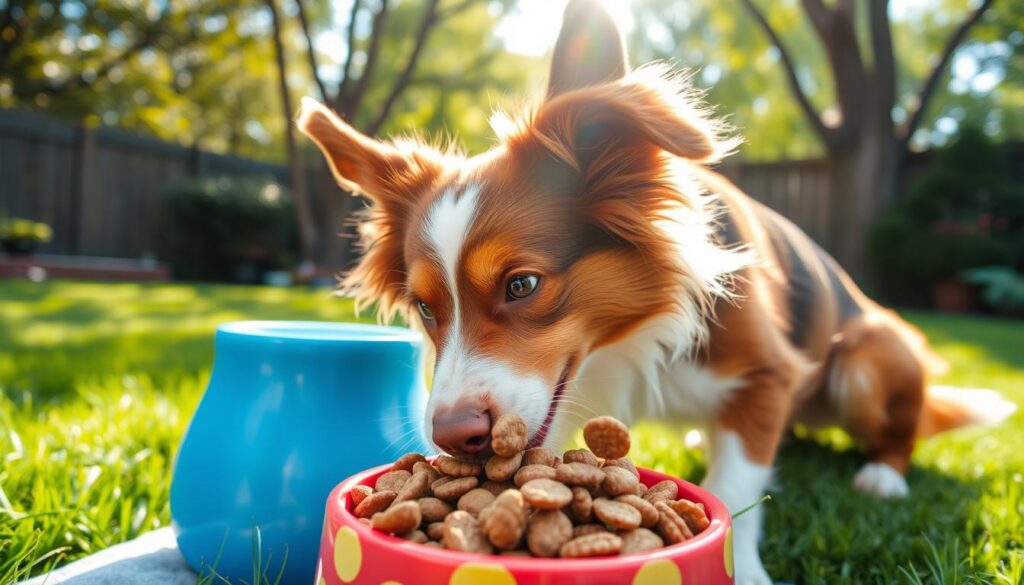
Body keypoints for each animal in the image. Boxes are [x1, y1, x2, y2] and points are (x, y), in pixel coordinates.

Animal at [296, 3, 1015, 581]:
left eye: (522, 284)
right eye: (424, 307)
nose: (452, 436)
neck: (627, 338)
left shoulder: (769, 375)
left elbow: (738, 481)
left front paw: (741, 563)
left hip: (871, 353)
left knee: (899, 427)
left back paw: (883, 475)